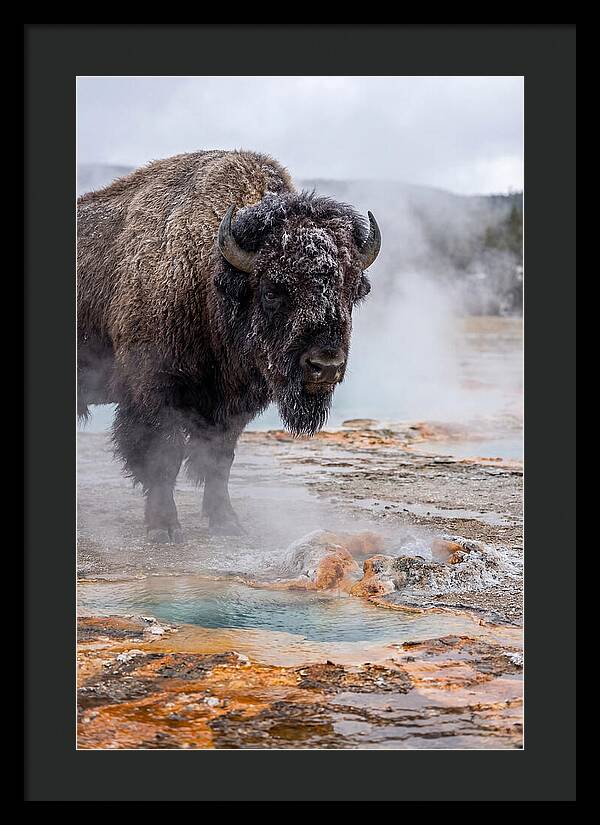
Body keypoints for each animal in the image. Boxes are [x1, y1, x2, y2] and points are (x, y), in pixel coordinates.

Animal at [77, 150, 381, 539]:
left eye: (351, 290)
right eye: (272, 291)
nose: (325, 365)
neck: (210, 277)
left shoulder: (231, 406)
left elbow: (219, 460)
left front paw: (226, 522)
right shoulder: (153, 393)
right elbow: (163, 458)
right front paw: (165, 528)